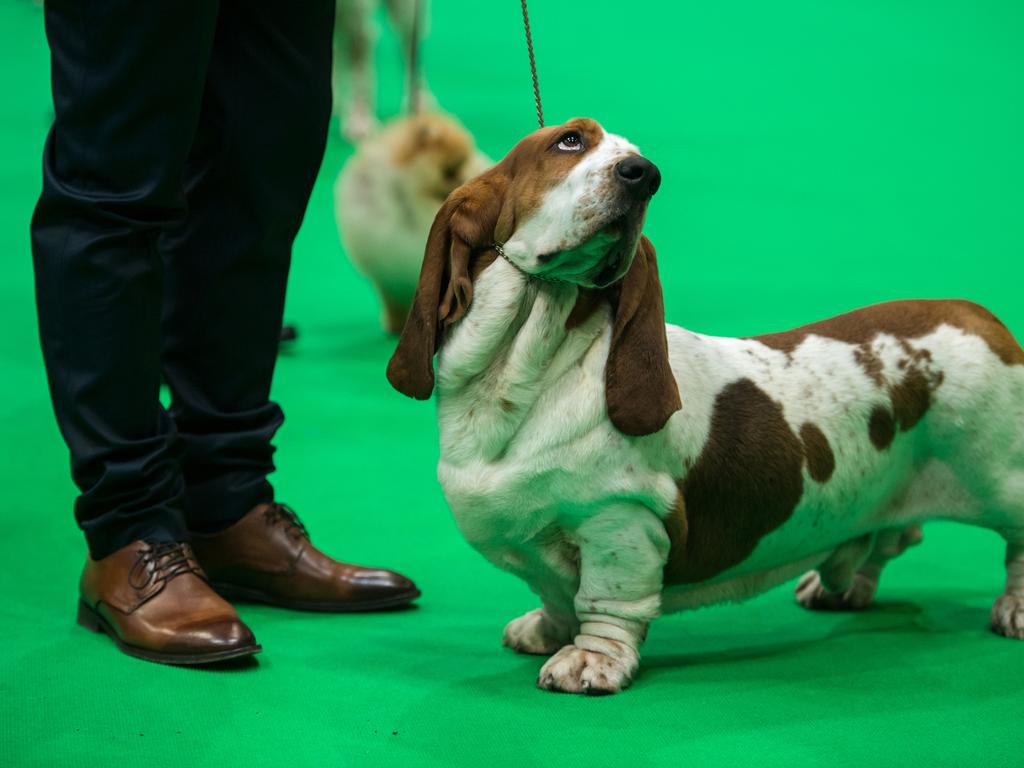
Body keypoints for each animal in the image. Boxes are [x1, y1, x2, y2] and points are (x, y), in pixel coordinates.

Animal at [385, 115, 1024, 696]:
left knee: (1014, 543)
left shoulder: (620, 520)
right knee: (889, 538)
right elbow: (555, 593)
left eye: (637, 159)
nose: (644, 175)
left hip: (1000, 478)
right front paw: (544, 630)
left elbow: (604, 602)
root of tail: (980, 316)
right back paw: (839, 587)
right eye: (568, 141)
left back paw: (1013, 611)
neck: (527, 373)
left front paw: (589, 663)